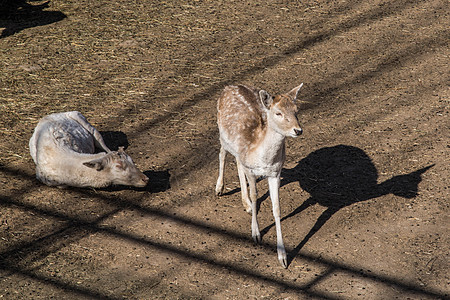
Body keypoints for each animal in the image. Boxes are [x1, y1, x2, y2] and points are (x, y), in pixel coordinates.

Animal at [216, 84, 304, 268]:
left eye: (296, 110)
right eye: (278, 113)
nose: (298, 130)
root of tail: (228, 87)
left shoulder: (276, 173)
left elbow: (277, 208)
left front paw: (282, 257)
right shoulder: (251, 170)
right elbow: (255, 195)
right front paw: (256, 234)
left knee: (237, 161)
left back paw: (246, 204)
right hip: (222, 133)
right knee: (222, 153)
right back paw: (219, 188)